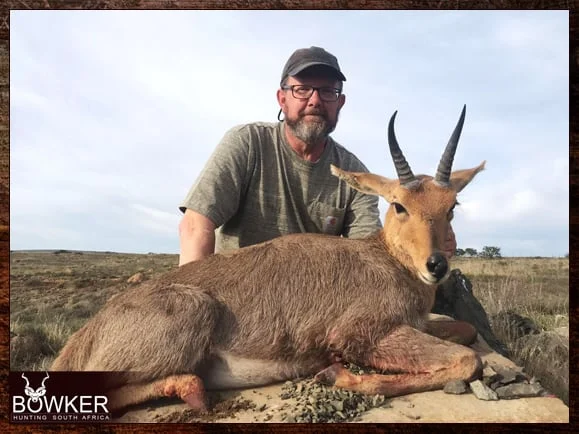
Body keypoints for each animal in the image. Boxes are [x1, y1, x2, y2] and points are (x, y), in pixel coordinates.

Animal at [49, 106, 488, 414]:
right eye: (398, 205)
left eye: (452, 206)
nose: (436, 265)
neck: (386, 260)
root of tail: (85, 336)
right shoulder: (363, 334)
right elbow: (467, 360)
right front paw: (338, 374)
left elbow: (466, 332)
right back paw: (190, 389)